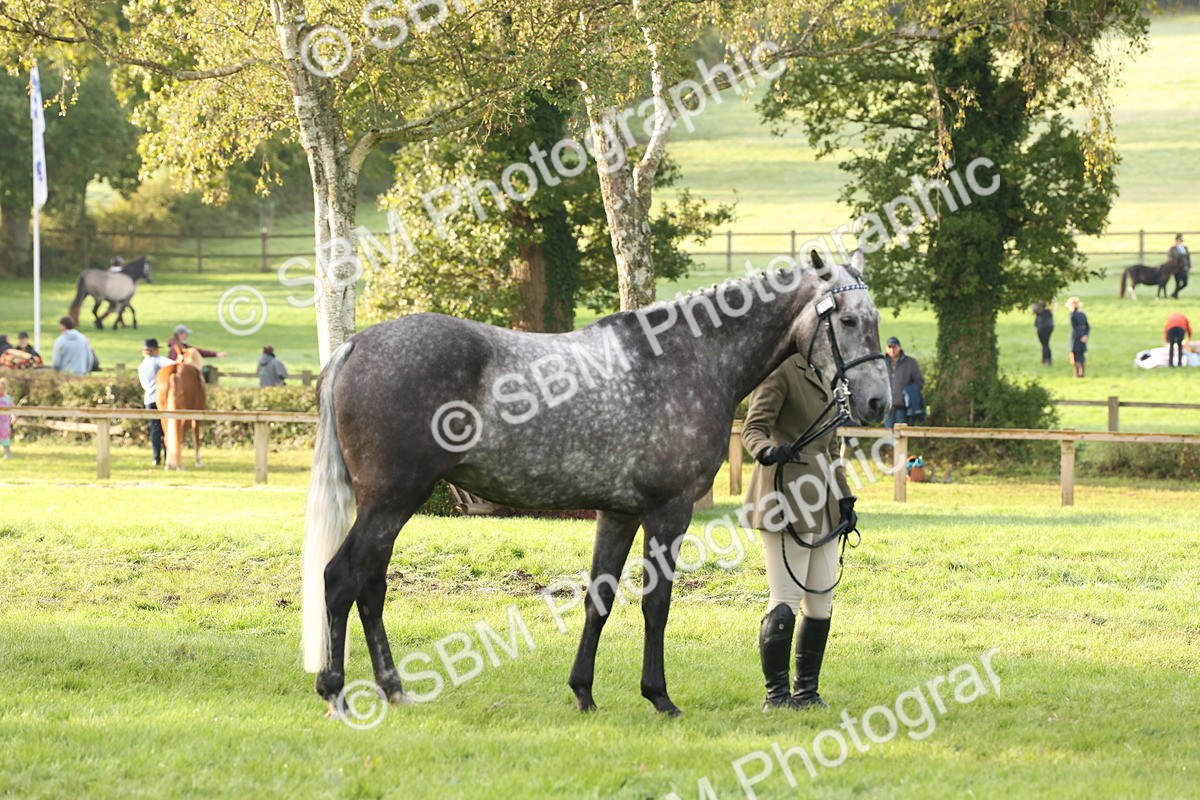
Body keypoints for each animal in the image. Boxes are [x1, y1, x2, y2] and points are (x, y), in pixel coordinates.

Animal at [301, 250, 891, 718]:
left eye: (875, 319)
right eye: (847, 318)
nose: (877, 402)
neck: (688, 358)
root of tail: (355, 346)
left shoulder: (619, 512)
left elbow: (598, 599)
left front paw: (583, 691)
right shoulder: (669, 511)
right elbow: (656, 604)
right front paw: (660, 697)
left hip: (387, 505)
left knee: (371, 587)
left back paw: (393, 688)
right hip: (391, 501)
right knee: (342, 579)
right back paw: (335, 692)